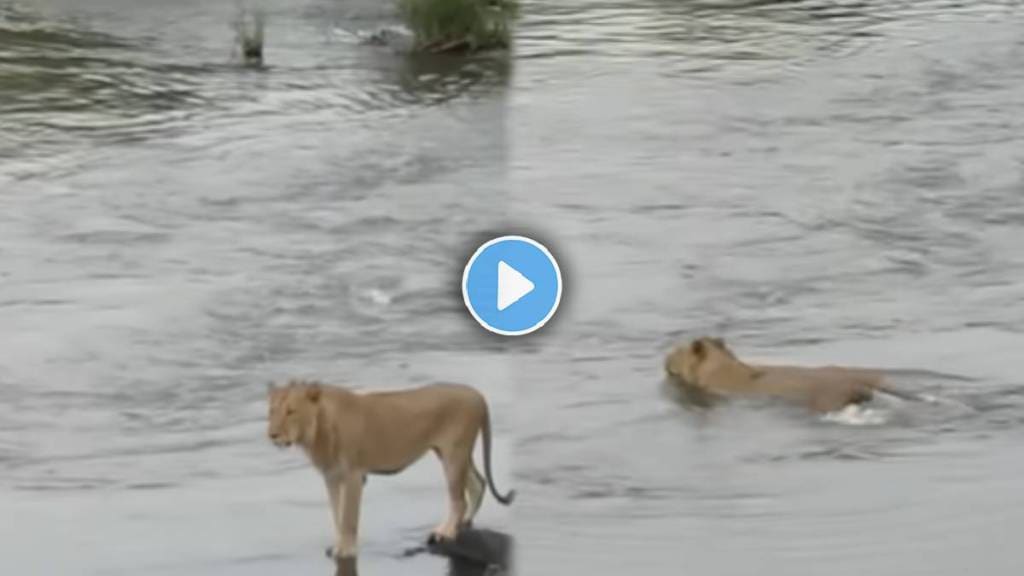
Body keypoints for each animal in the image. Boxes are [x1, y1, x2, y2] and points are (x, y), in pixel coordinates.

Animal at [268, 379, 516, 557]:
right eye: (272, 411)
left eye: (290, 411)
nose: (272, 435)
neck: (317, 431)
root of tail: (477, 395)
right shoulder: (332, 477)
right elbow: (337, 515)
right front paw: (338, 544)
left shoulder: (353, 476)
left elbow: (348, 517)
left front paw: (346, 550)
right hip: (450, 453)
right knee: (478, 483)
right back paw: (464, 524)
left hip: (454, 453)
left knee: (459, 499)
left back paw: (445, 532)